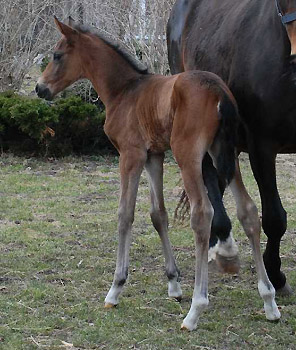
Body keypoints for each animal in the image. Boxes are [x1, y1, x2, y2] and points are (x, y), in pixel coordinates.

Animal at [35, 17, 278, 330]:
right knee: (248, 211)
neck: (125, 91)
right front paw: (173, 285)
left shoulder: (130, 155)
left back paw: (196, 309)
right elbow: (158, 214)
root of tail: (218, 90)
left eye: (56, 55)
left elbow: (125, 214)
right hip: (226, 155)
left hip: (189, 156)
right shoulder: (154, 156)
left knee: (203, 214)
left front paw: (116, 288)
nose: (39, 89)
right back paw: (269, 301)